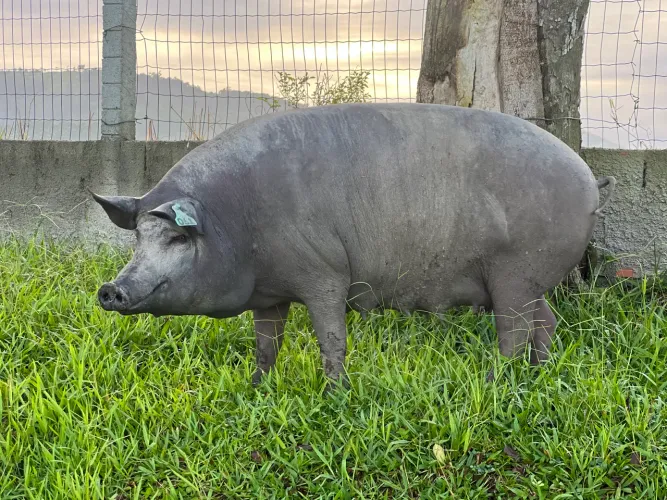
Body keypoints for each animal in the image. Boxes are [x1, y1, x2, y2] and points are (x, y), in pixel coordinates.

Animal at [92, 103, 615, 387]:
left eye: (178, 237)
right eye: (137, 236)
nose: (110, 290)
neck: (237, 220)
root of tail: (589, 178)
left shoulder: (325, 274)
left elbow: (331, 338)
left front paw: (335, 394)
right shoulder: (270, 293)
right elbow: (266, 344)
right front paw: (257, 387)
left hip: (515, 271)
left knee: (514, 333)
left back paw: (494, 383)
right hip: (526, 280)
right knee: (544, 323)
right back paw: (540, 376)